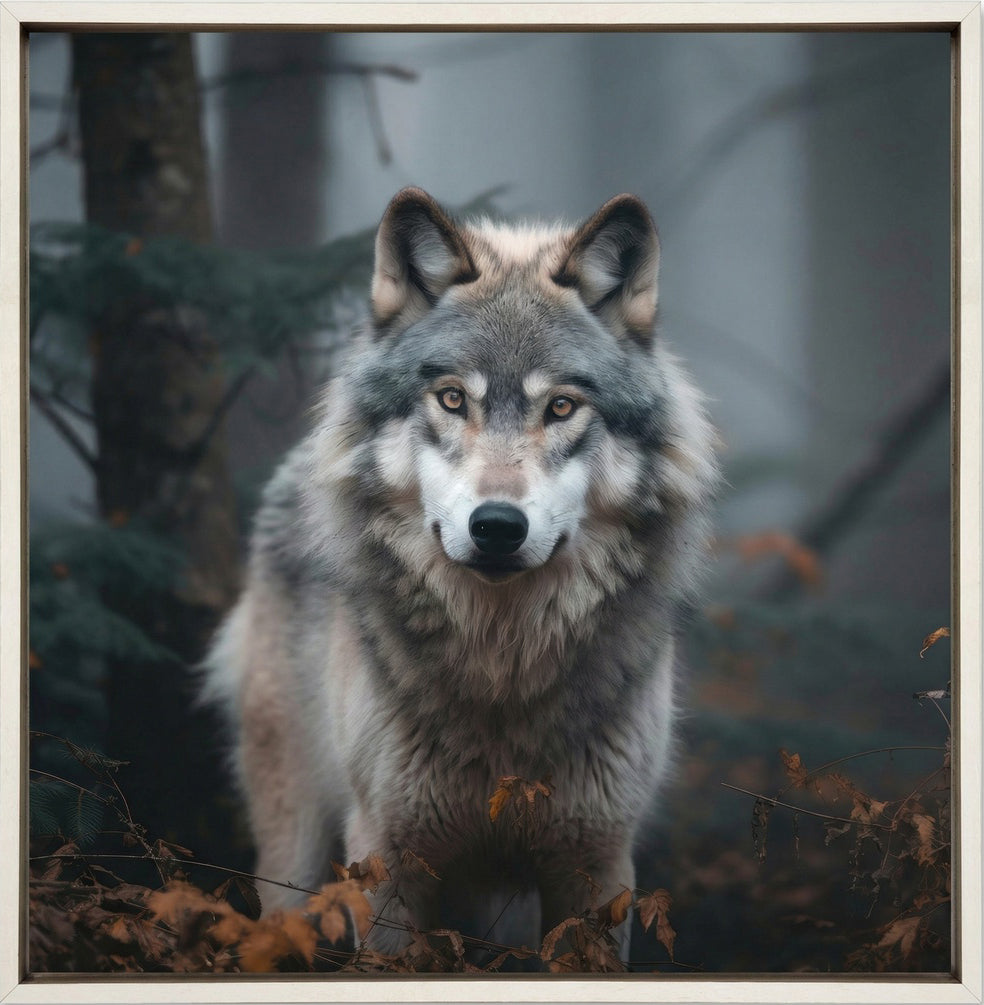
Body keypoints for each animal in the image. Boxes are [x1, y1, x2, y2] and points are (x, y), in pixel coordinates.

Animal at [204, 188, 718, 961]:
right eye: (452, 399)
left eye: (560, 406)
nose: (497, 525)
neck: (501, 668)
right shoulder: (387, 857)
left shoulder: (597, 864)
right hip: (294, 843)